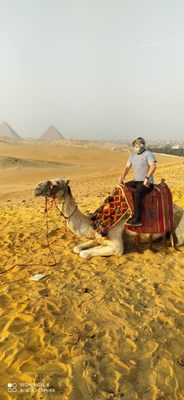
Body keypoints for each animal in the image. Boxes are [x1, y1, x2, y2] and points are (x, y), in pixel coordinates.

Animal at [34, 179, 184, 260]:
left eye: (56, 184)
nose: (36, 188)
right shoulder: (96, 237)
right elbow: (77, 248)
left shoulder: (117, 246)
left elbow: (84, 253)